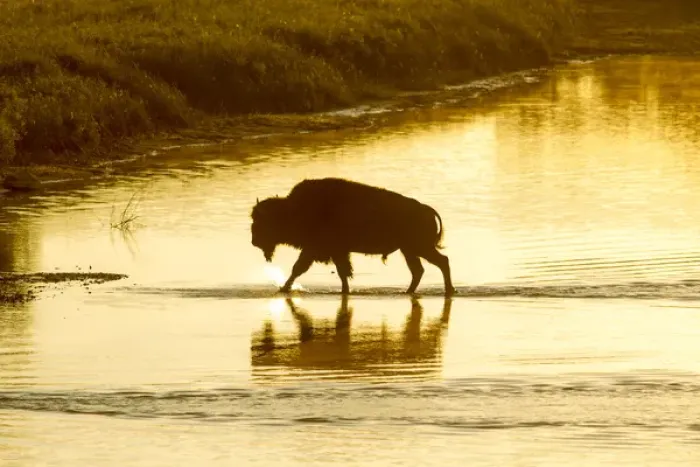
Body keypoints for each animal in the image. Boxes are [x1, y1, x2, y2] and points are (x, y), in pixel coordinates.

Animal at [250, 177, 456, 296]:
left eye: (262, 222)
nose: (254, 241)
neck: (293, 210)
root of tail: (426, 209)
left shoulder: (318, 250)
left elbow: (299, 269)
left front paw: (283, 289)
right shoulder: (332, 252)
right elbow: (341, 272)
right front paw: (345, 291)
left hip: (419, 248)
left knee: (441, 262)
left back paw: (447, 290)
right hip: (409, 250)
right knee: (419, 270)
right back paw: (408, 292)